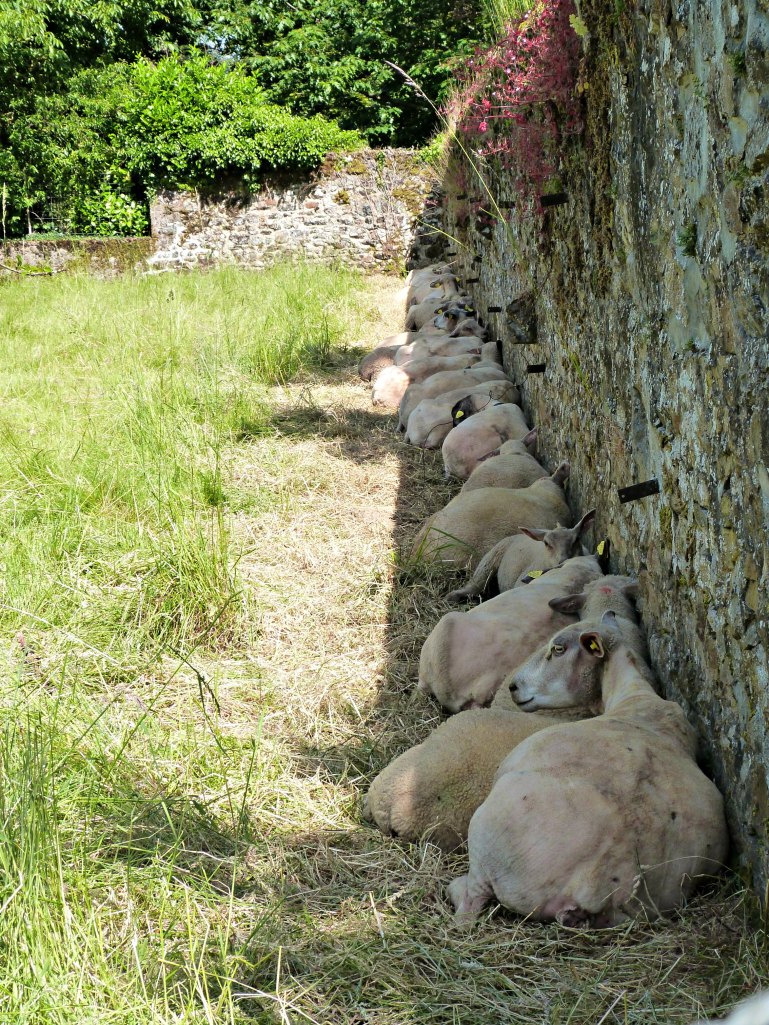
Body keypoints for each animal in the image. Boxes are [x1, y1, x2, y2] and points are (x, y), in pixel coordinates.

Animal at [446, 509, 596, 603]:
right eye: (546, 543)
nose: (564, 559)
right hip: (490, 559)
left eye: (577, 539)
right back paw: (453, 596)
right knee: (476, 584)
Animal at [448, 613, 728, 929]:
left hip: (486, 843)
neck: (636, 698)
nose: (513, 687)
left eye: (558, 649)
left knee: (468, 898)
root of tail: (595, 877)